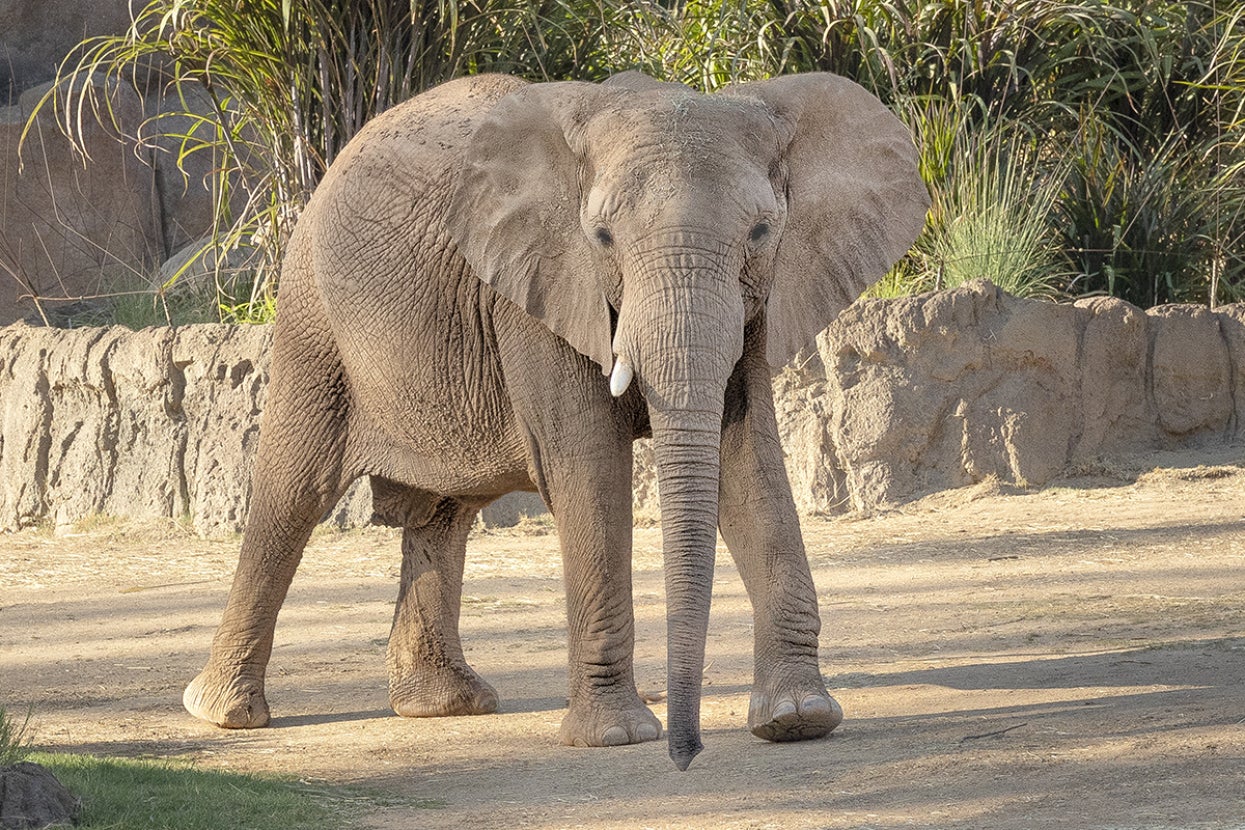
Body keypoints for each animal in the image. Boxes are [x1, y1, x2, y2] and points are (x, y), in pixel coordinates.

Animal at [183, 69, 928, 770]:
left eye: (762, 232)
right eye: (600, 236)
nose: (686, 753)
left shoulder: (759, 300)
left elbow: (748, 463)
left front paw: (797, 720)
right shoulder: (537, 286)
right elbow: (590, 467)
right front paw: (615, 738)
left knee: (443, 512)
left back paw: (445, 705)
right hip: (312, 316)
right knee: (293, 494)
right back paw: (224, 714)